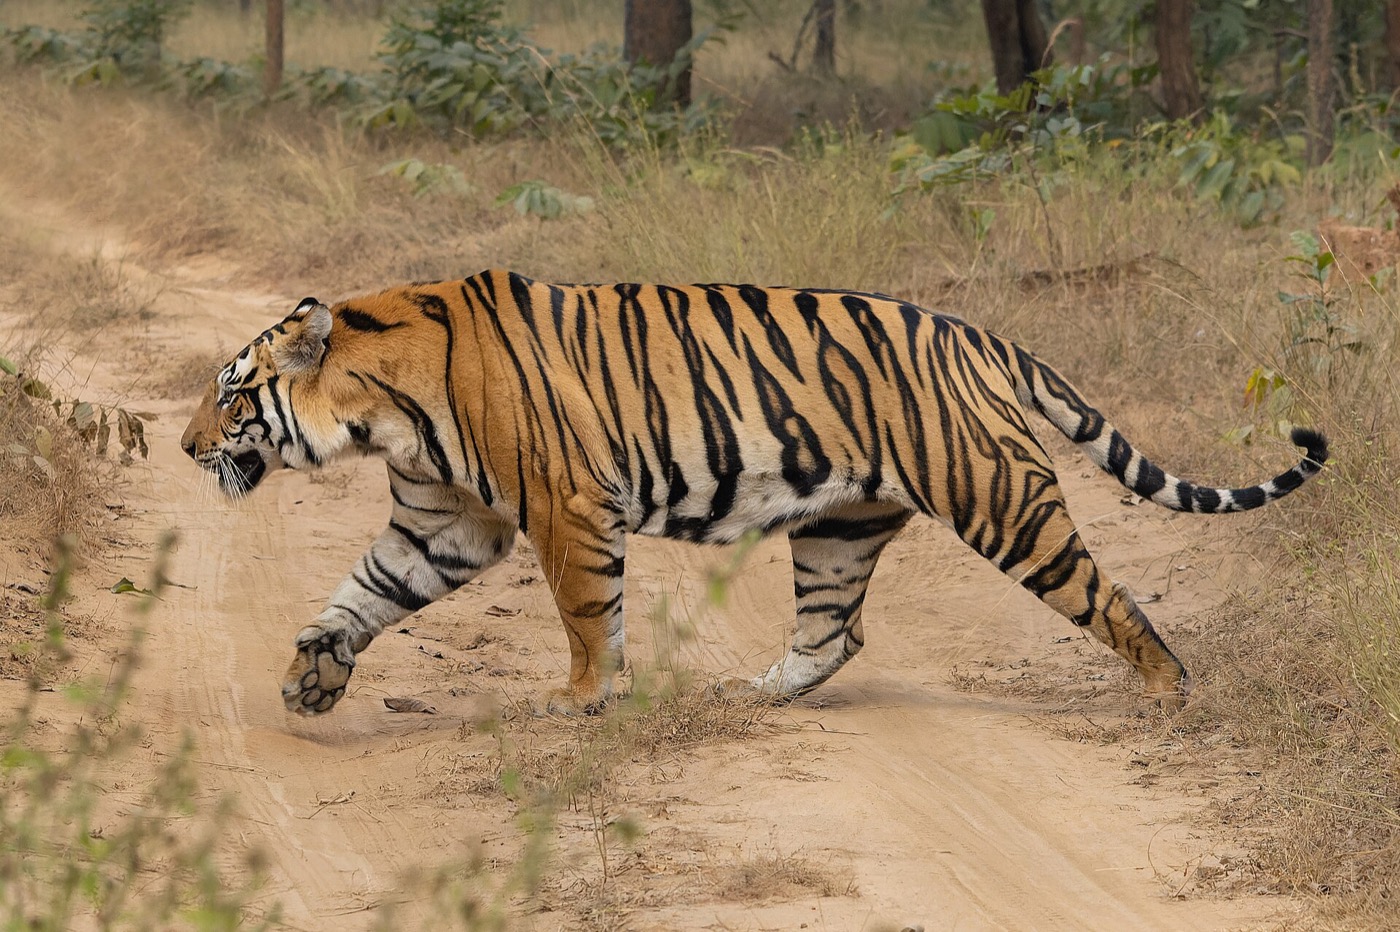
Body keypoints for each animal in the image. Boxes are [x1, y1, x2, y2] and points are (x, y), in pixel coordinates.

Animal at [180, 270, 1328, 717]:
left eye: (231, 392)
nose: (186, 446)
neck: (379, 406)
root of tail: (982, 335)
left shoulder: (566, 508)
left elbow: (584, 612)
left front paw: (581, 699)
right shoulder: (443, 520)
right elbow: (362, 592)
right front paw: (312, 675)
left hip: (1002, 499)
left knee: (1109, 597)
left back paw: (1168, 692)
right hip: (839, 527)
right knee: (835, 631)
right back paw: (756, 692)